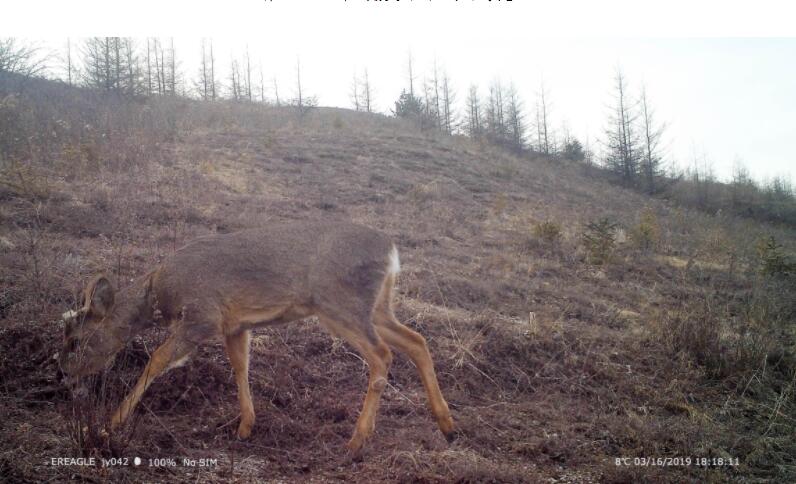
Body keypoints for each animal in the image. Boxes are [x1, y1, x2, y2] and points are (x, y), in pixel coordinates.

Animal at [57, 221, 454, 452]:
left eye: (75, 340)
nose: (63, 373)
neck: (157, 291)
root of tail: (392, 251)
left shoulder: (202, 316)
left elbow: (156, 361)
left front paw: (110, 424)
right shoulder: (234, 325)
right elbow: (240, 368)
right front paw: (246, 426)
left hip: (340, 304)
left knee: (383, 355)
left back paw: (358, 439)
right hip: (377, 307)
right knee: (416, 341)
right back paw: (447, 425)